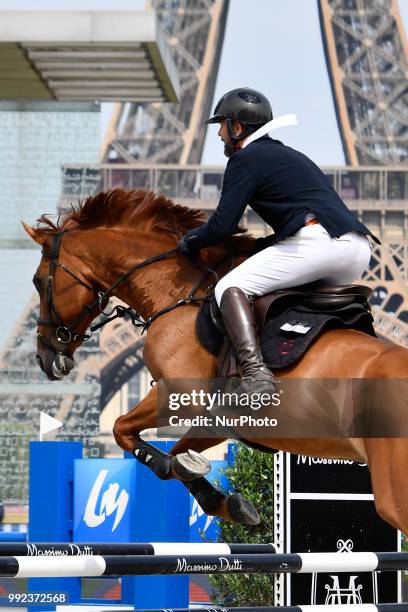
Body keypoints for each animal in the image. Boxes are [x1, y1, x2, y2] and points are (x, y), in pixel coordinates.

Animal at [23, 189, 408, 532]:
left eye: (39, 281)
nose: (44, 357)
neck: (176, 293)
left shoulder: (181, 395)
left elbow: (127, 433)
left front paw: (183, 471)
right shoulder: (218, 419)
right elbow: (171, 447)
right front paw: (228, 503)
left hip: (393, 493)